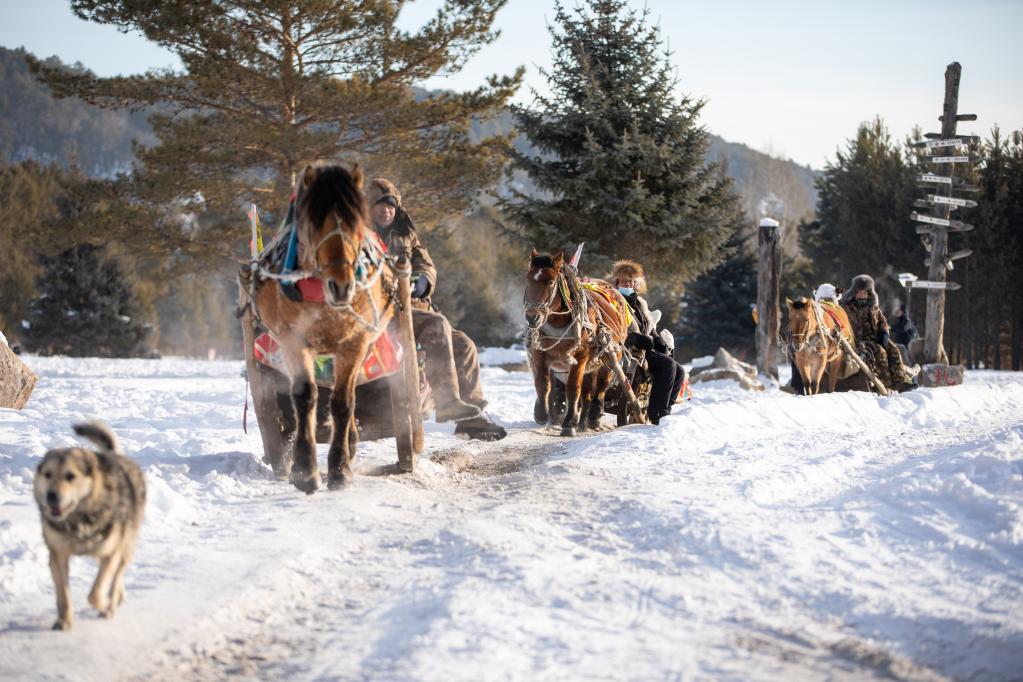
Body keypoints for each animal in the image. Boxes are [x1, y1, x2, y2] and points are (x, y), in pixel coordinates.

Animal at [33, 423, 146, 633]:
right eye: (47, 475)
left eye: (70, 476)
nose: (51, 495)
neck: (78, 519)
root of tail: (116, 456)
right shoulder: (57, 555)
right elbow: (63, 595)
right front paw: (64, 621)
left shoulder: (111, 553)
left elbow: (95, 594)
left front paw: (106, 606)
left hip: (126, 545)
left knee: (117, 576)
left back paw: (112, 601)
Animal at [237, 162, 425, 492]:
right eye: (313, 222)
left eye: (357, 222)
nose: (342, 285)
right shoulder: (292, 339)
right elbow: (305, 397)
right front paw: (304, 469)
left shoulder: (356, 342)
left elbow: (342, 402)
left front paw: (340, 468)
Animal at [527, 250, 630, 437]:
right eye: (528, 279)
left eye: (550, 282)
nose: (532, 317)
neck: (558, 323)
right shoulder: (540, 353)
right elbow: (542, 384)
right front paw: (541, 413)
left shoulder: (580, 358)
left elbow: (573, 389)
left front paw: (568, 424)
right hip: (591, 365)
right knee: (587, 392)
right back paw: (582, 420)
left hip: (611, 355)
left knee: (601, 385)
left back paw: (594, 416)